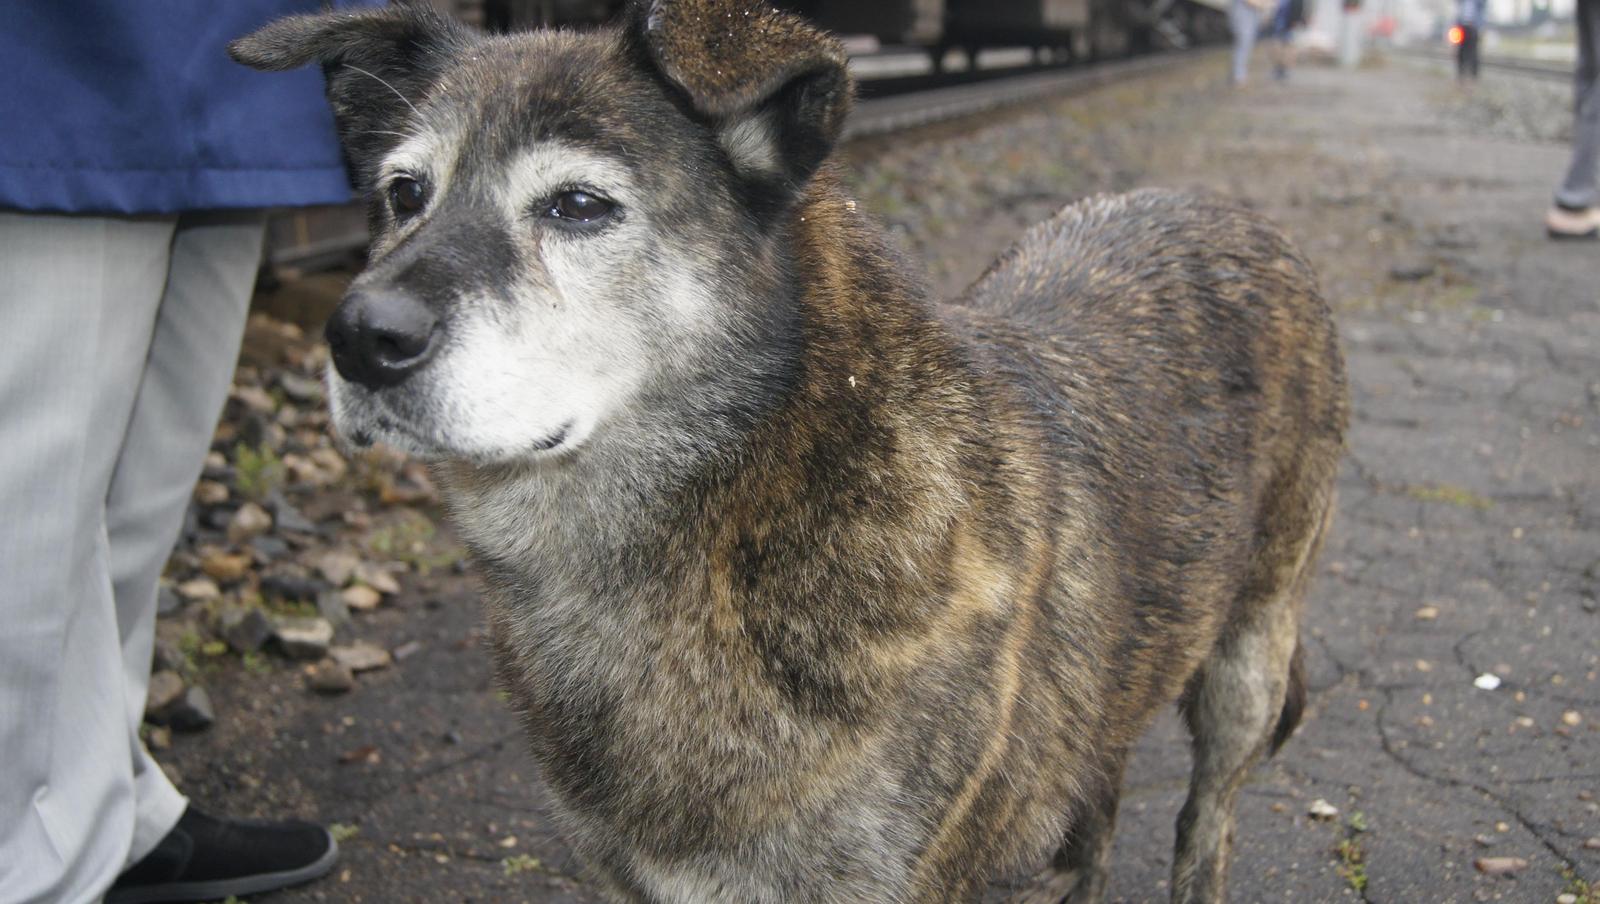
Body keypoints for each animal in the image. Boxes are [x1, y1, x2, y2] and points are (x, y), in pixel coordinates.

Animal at [232, 3, 1344, 896]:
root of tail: (1223, 206)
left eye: (579, 206)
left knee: (1205, 825)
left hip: (1246, 668)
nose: (358, 337)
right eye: (402, 193)